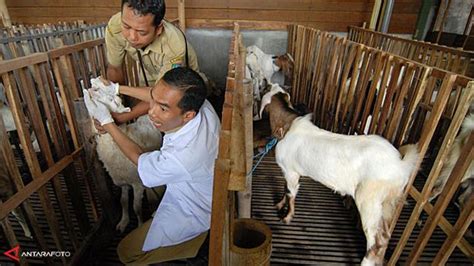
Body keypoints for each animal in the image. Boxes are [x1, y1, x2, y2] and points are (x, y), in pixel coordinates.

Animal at [83, 86, 161, 232]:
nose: (91, 89)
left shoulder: (137, 183)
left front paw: (139, 225)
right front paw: (123, 222)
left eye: (112, 99)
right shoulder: (123, 182)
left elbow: (136, 208)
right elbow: (123, 202)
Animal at [262, 85, 420, 266]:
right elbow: (286, 189)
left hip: (369, 200)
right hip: (387, 203)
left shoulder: (291, 171)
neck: (288, 125)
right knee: (386, 235)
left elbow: (291, 193)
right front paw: (279, 205)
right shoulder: (290, 172)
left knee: (376, 239)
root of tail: (400, 165)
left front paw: (287, 217)